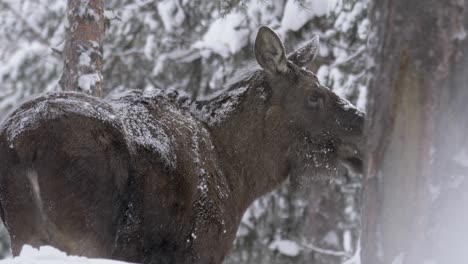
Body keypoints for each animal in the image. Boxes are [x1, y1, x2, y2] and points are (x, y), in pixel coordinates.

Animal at [0, 27, 364, 264]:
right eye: (314, 95)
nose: (365, 125)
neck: (241, 176)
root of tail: (21, 142)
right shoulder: (201, 246)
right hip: (81, 235)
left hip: (26, 233)